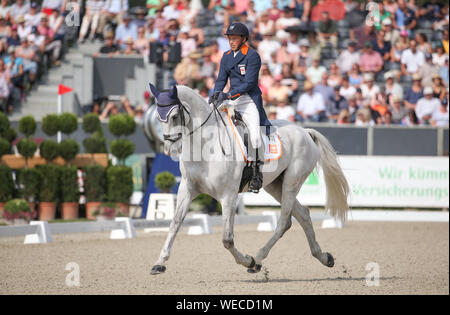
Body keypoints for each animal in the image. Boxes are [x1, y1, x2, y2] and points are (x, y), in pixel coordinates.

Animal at [149, 85, 350, 276]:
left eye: (175, 116)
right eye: (158, 118)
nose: (168, 149)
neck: (206, 145)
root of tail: (305, 132)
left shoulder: (228, 196)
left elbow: (227, 239)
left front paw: (248, 260)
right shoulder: (187, 188)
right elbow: (175, 223)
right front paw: (159, 263)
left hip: (292, 182)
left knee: (284, 221)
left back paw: (258, 259)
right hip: (275, 186)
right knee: (303, 215)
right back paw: (324, 257)